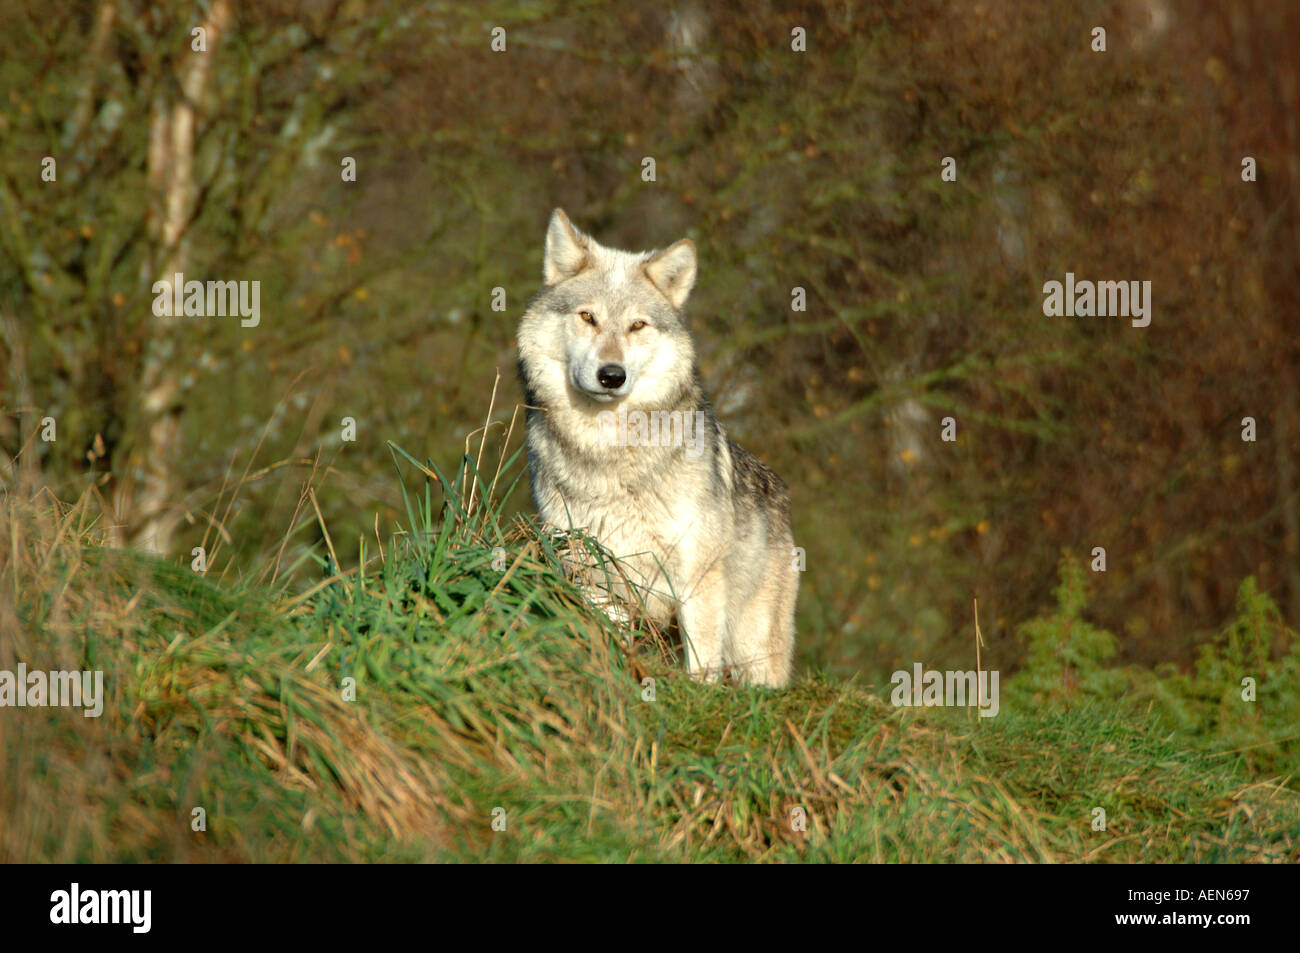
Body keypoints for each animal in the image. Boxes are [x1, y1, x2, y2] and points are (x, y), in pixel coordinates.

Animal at [512, 208, 795, 686]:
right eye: (588, 317)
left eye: (637, 325)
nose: (611, 375)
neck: (608, 449)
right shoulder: (591, 569)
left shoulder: (696, 576)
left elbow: (701, 664)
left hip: (753, 648)